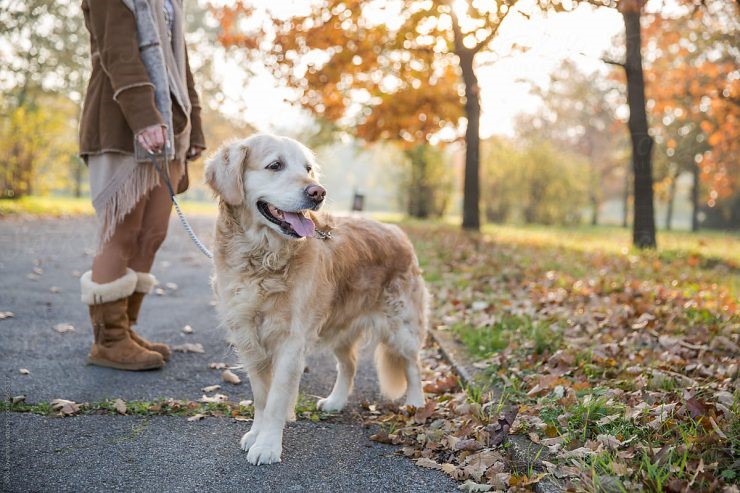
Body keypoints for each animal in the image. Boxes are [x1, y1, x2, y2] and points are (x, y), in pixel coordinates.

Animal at [207, 133, 428, 464]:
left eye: (308, 168)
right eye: (275, 165)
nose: (318, 192)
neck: (262, 258)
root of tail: (396, 230)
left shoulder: (291, 340)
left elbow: (276, 399)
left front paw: (268, 445)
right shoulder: (248, 338)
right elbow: (261, 396)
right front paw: (256, 434)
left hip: (401, 323)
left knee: (412, 364)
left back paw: (415, 403)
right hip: (340, 323)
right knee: (349, 364)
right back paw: (336, 401)